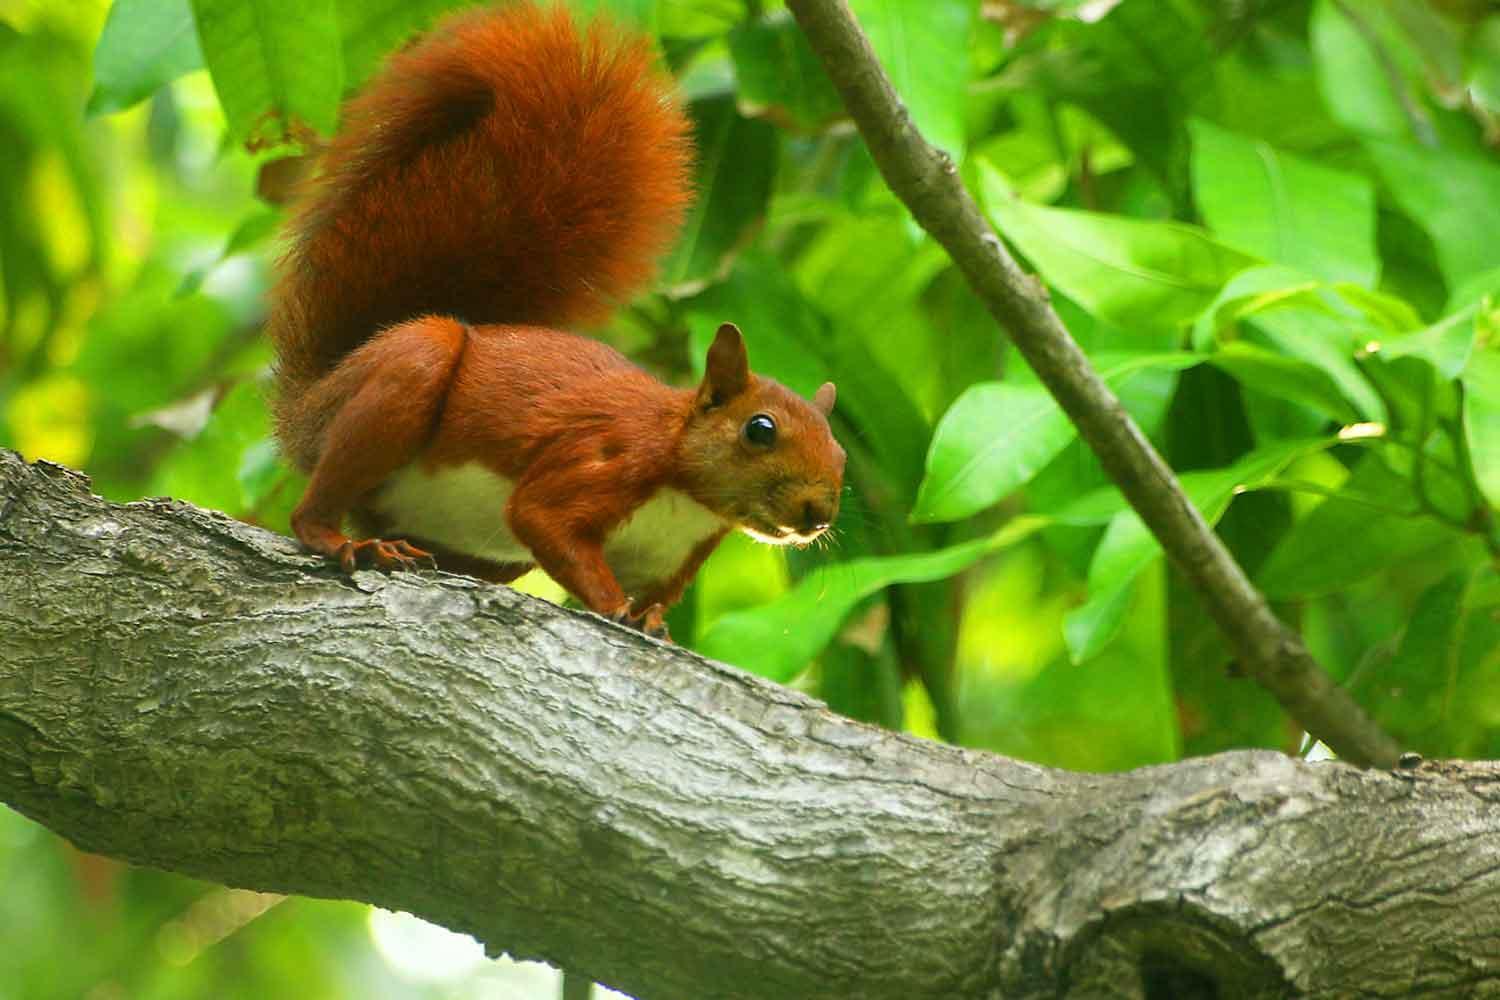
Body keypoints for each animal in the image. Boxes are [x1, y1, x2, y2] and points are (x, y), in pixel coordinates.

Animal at [268, 1, 846, 641]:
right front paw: (614, 607)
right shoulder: (603, 459)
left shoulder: (676, 559)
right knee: (316, 504)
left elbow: (656, 600)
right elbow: (542, 518)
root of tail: (308, 402)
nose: (818, 514)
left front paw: (653, 623)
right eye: (759, 429)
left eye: (841, 453)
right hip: (400, 375)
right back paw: (347, 541)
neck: (685, 498)